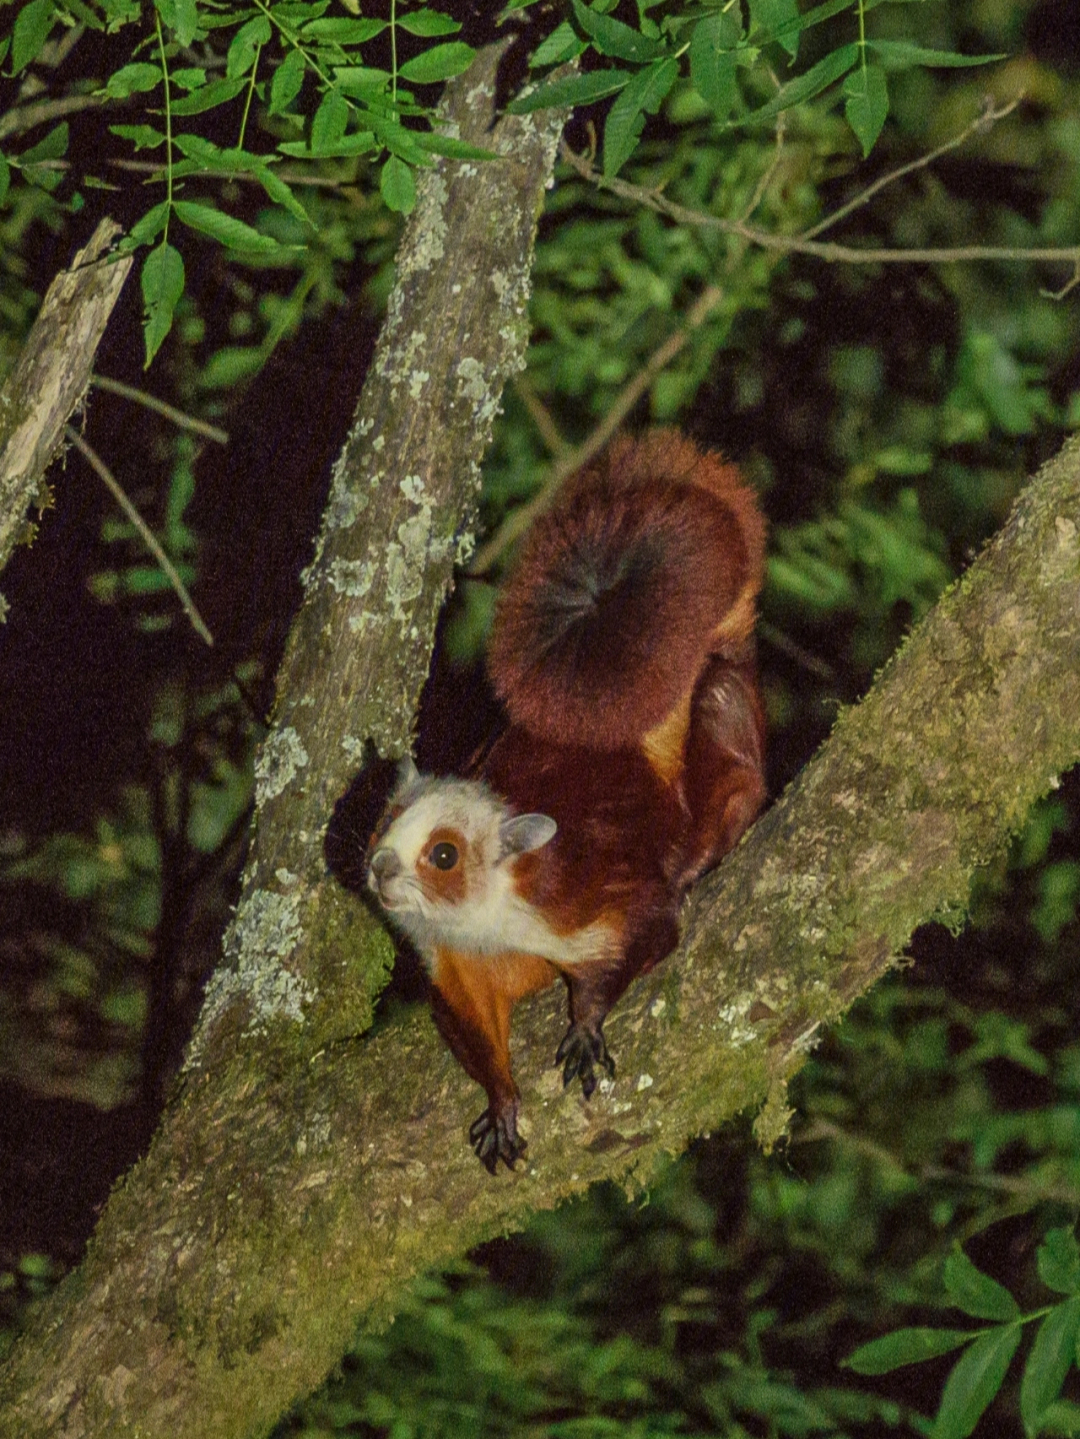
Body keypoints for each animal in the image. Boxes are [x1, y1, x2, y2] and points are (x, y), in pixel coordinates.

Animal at [368, 431, 765, 1174]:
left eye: (444, 854)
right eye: (385, 820)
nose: (378, 866)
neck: (486, 920)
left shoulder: (582, 895)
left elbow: (649, 931)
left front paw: (584, 1026)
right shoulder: (455, 971)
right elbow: (472, 1034)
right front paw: (501, 1103)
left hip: (721, 711)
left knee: (737, 766)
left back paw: (699, 856)